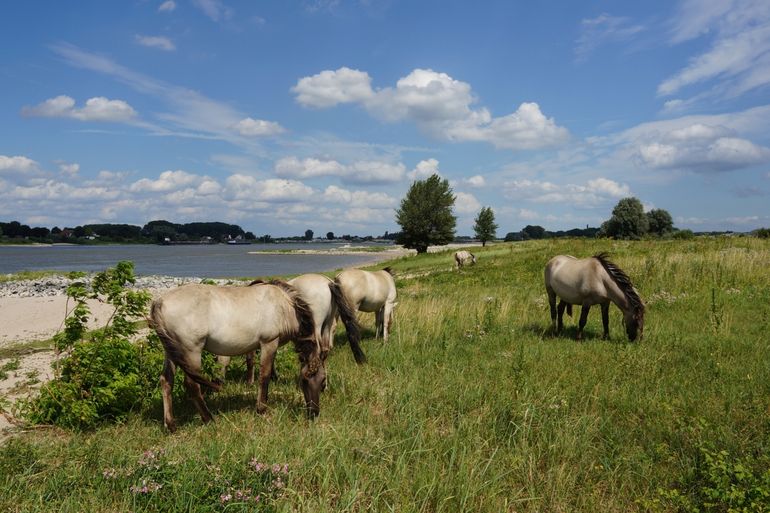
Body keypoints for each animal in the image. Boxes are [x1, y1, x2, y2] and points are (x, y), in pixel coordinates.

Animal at [149, 278, 324, 430]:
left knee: (166, 381)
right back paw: (209, 419)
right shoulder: (269, 343)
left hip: (172, 352)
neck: (284, 306)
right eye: (305, 380)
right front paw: (261, 409)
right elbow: (264, 376)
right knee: (192, 385)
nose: (314, 413)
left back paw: (171, 425)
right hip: (191, 351)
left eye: (322, 381)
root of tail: (160, 302)